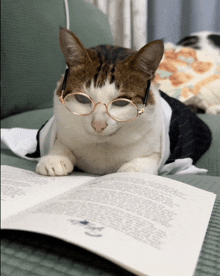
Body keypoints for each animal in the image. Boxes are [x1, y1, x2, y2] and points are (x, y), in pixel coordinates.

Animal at [35, 28, 211, 176]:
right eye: (82, 99)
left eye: (121, 103)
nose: (98, 125)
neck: (103, 146)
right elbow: (60, 143)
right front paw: (55, 158)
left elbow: (151, 157)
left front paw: (133, 169)